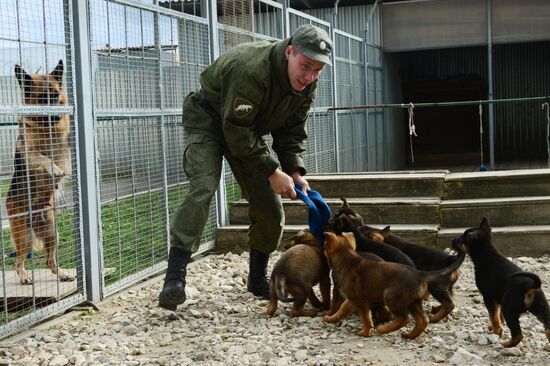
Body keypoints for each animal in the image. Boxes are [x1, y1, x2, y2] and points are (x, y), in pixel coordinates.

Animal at [5, 59, 74, 286]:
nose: (56, 116)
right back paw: (25, 276)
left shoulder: (66, 140)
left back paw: (62, 273)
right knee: (18, 261)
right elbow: (44, 159)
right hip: (24, 236)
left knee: (48, 260)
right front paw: (55, 169)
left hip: (53, 233)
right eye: (43, 98)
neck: (47, 129)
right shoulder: (30, 153)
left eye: (55, 95)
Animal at [324, 233, 466, 338]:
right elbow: (342, 309)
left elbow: (365, 318)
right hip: (414, 302)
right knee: (423, 320)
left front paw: (366, 332)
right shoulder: (353, 299)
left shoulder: (360, 301)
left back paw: (384, 329)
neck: (347, 260)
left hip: (391, 296)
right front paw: (331, 318)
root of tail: (420, 274)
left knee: (404, 318)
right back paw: (410, 335)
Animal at [452, 217, 550, 348]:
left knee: (518, 334)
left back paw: (506, 344)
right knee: (548, 328)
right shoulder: (497, 298)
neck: (486, 253)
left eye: (462, 238)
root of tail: (532, 286)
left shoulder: (488, 297)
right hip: (541, 308)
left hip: (509, 308)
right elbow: (498, 316)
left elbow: (493, 316)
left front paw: (496, 331)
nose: (452, 240)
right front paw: (496, 328)